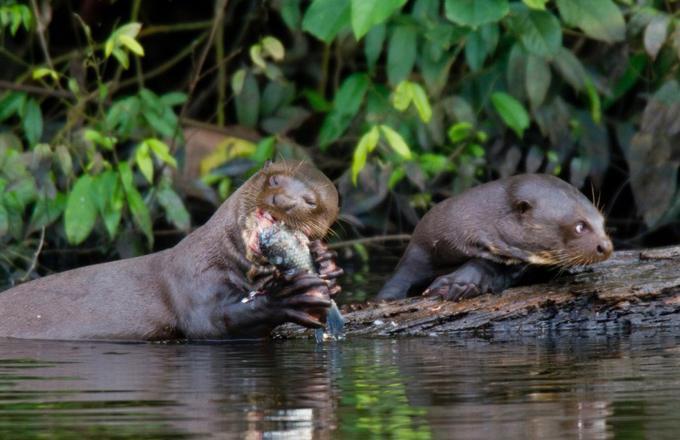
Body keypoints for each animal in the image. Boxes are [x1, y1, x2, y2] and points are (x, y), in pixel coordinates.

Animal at [0, 161, 340, 340]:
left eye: (311, 201)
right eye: (274, 180)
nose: (282, 201)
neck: (215, 251)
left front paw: (327, 265)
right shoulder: (192, 277)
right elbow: (210, 323)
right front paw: (288, 297)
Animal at [374, 174, 612, 300]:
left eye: (602, 222)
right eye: (580, 226)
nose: (606, 246)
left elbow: (490, 265)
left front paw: (457, 284)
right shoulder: (422, 245)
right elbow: (399, 279)